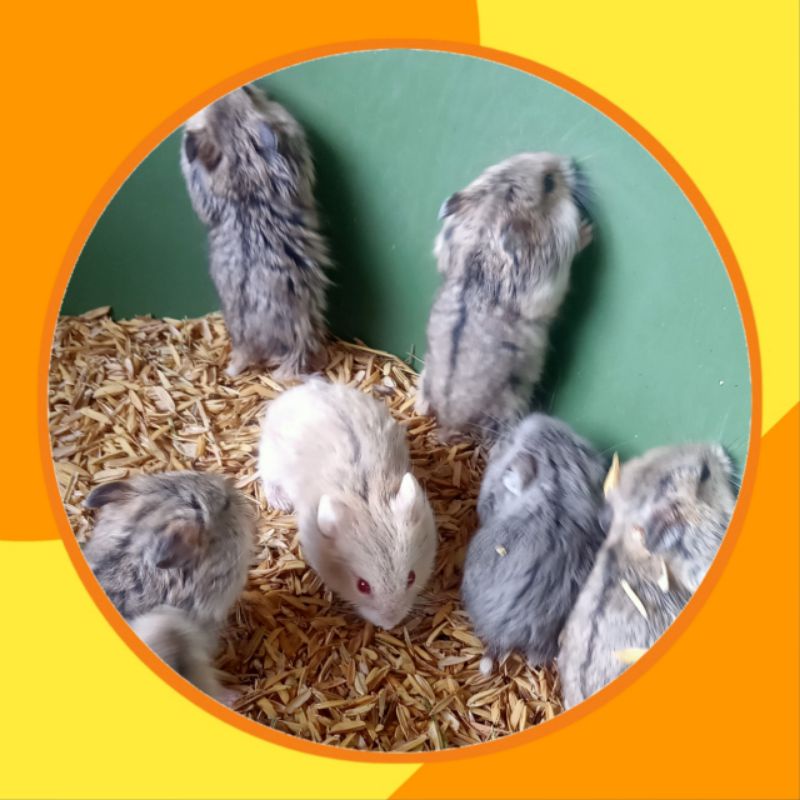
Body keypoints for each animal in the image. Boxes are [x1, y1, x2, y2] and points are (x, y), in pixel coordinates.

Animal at [258, 379, 437, 629]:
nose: (390, 625)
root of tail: (306, 386)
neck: (367, 499)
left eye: (411, 577)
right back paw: (281, 503)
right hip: (270, 459)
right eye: (362, 586)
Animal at [416, 152, 592, 442]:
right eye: (549, 183)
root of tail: (450, 421)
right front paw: (587, 230)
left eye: (517, 157)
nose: (566, 159)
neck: (489, 216)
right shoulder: (548, 283)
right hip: (511, 404)